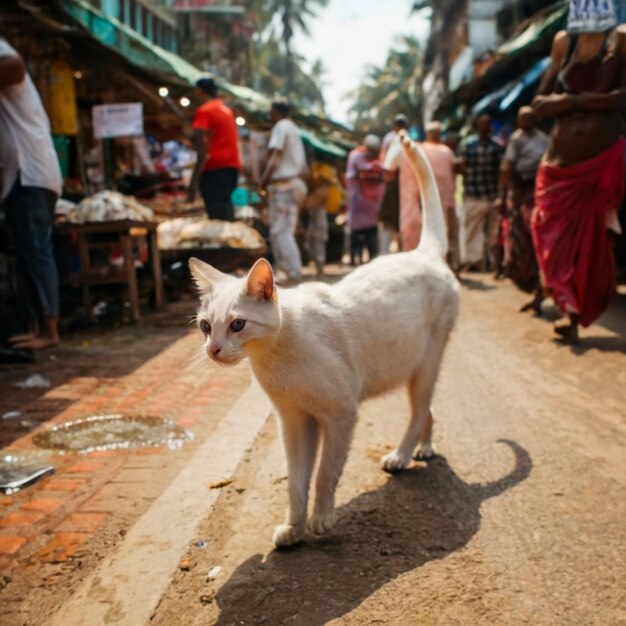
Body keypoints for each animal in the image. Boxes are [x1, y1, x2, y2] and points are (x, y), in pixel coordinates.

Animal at [188, 134, 456, 544]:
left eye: (237, 325)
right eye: (205, 326)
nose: (213, 349)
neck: (275, 359)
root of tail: (422, 253)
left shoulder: (340, 414)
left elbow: (325, 474)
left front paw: (322, 519)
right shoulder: (295, 421)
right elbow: (295, 482)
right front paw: (294, 528)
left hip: (427, 364)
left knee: (418, 411)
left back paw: (402, 455)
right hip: (411, 371)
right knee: (427, 409)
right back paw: (424, 449)